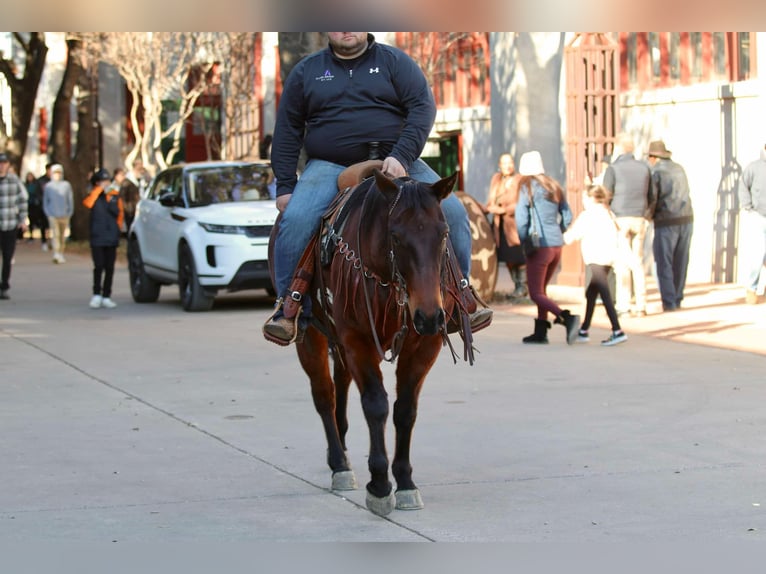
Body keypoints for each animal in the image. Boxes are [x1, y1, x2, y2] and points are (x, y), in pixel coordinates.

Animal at [270, 168, 464, 516]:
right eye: (396, 237)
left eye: (444, 234)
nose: (429, 317)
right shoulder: (358, 341)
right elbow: (376, 405)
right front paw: (380, 485)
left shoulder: (422, 346)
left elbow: (405, 409)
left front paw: (405, 482)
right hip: (311, 337)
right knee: (324, 395)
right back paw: (339, 464)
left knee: (341, 384)